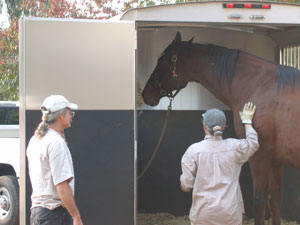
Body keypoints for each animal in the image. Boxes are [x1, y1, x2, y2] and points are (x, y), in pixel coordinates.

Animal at [142, 31, 300, 225]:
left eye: (162, 61)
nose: (145, 94)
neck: (260, 86)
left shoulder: (259, 157)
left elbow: (260, 201)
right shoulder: (276, 160)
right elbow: (276, 200)